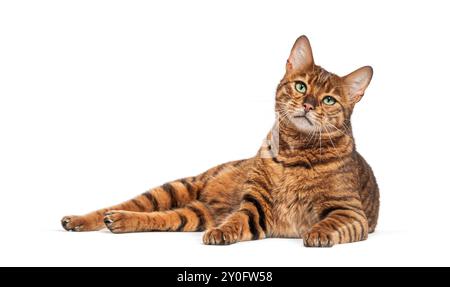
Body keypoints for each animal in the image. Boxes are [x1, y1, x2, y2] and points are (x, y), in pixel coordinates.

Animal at [62, 35, 380, 248]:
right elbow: (237, 220)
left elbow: (331, 222)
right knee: (124, 204)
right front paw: (221, 233)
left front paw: (317, 232)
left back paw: (117, 221)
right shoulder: (255, 205)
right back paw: (82, 219)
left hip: (194, 214)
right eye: (301, 86)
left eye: (329, 100)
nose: (309, 105)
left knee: (160, 218)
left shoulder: (349, 211)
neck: (296, 152)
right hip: (177, 188)